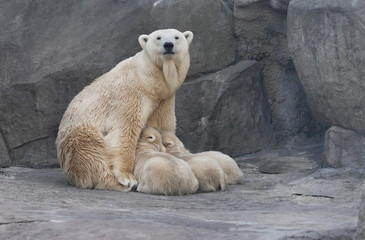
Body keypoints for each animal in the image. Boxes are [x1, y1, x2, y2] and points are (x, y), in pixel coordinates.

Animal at [55, 28, 192, 191]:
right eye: (158, 37)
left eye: (177, 37)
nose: (168, 45)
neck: (147, 80)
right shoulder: (129, 94)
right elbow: (124, 130)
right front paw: (128, 178)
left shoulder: (163, 100)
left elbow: (161, 125)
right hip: (76, 139)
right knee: (91, 153)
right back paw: (115, 183)